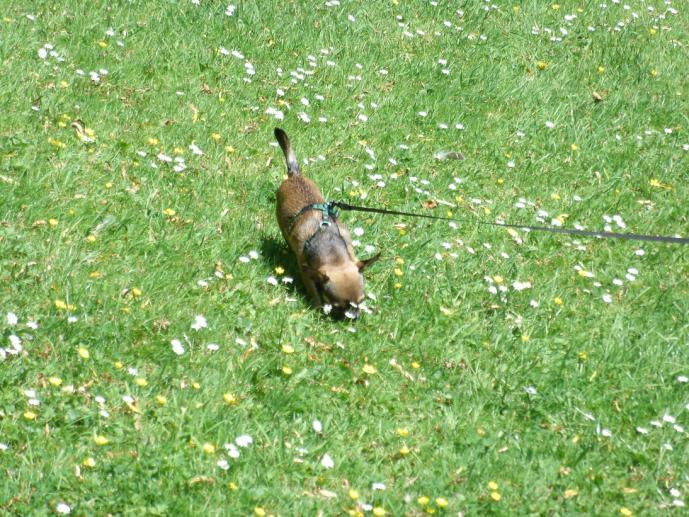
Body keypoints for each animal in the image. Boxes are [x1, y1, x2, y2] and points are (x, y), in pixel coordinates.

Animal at [273, 128, 379, 316]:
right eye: (338, 306)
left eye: (361, 301)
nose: (353, 317)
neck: (333, 252)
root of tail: (295, 175)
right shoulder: (307, 272)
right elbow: (314, 290)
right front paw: (318, 307)